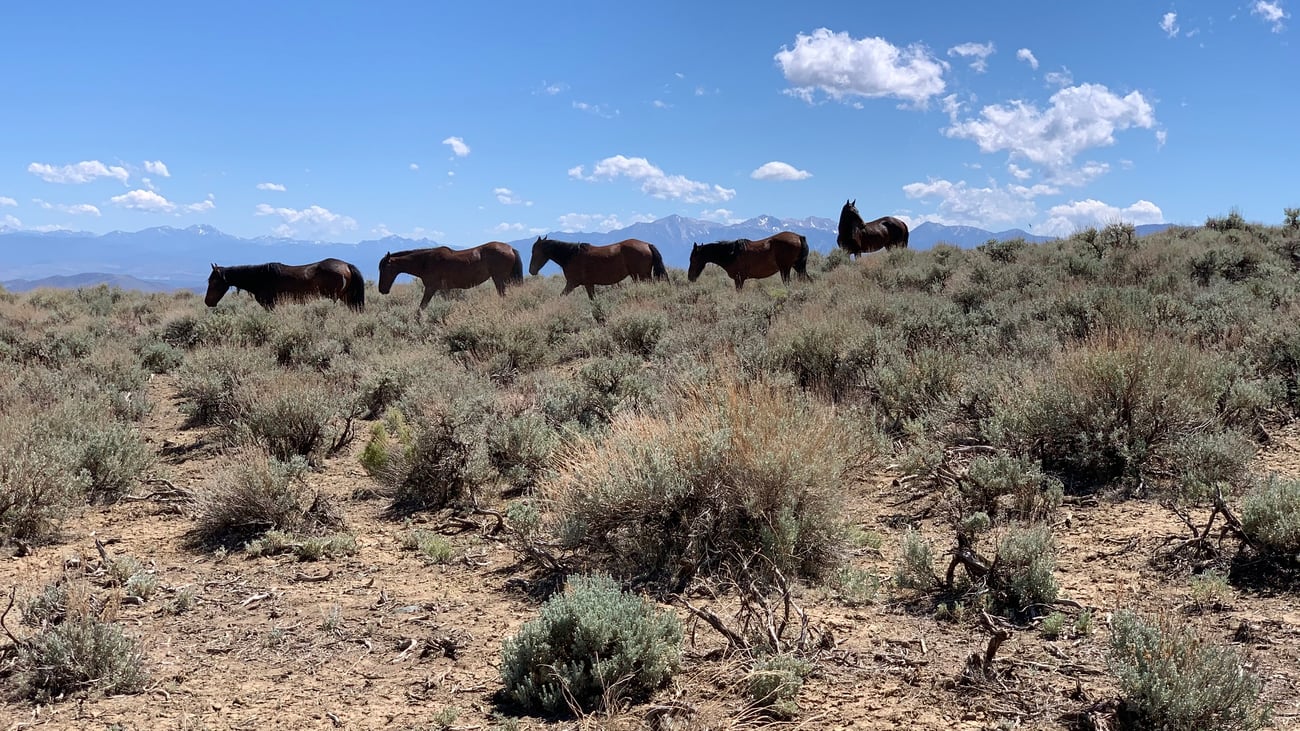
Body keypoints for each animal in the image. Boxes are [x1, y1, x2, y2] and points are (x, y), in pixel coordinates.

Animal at [205, 258, 365, 311]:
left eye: (213, 281)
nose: (207, 302)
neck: (261, 278)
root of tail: (346, 265)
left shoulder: (270, 305)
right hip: (348, 298)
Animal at [378, 242, 523, 308]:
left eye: (384, 269)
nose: (382, 290)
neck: (425, 261)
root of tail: (510, 248)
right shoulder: (445, 290)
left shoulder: (431, 288)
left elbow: (421, 308)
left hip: (499, 279)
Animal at [528, 236, 668, 299]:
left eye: (534, 252)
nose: (531, 270)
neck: (571, 255)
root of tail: (647, 244)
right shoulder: (589, 285)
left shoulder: (572, 283)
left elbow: (561, 296)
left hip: (642, 276)